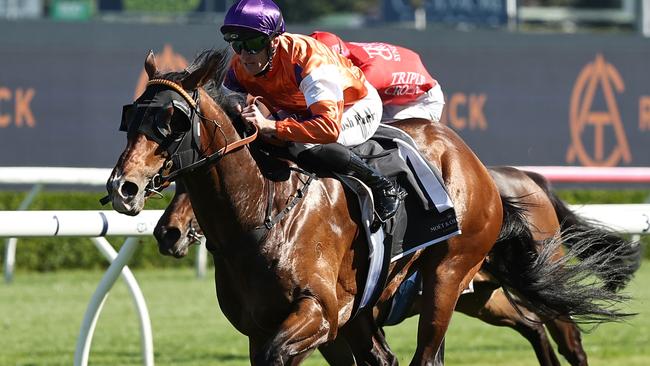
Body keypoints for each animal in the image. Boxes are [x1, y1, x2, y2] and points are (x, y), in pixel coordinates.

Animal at [109, 48, 632, 364]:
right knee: (529, 326)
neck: (262, 214)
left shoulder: (320, 314)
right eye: (130, 117)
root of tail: (479, 166)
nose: (123, 188)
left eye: (172, 122)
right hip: (476, 293)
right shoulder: (280, 327)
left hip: (448, 276)